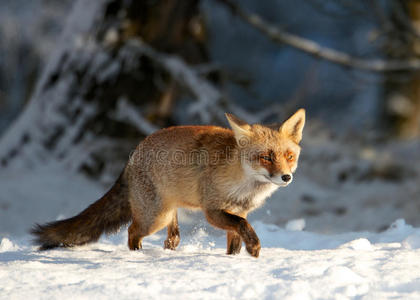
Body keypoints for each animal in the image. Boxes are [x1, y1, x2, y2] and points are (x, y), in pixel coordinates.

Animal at [30, 109, 306, 256]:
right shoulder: (214, 210)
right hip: (155, 217)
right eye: (266, 157)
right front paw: (254, 247)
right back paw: (137, 255)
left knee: (170, 239)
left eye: (289, 156)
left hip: (167, 215)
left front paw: (236, 259)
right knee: (132, 231)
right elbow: (243, 227)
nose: (286, 177)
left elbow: (236, 239)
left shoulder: (239, 211)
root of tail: (134, 153)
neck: (244, 185)